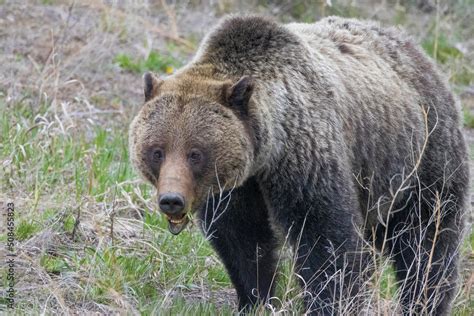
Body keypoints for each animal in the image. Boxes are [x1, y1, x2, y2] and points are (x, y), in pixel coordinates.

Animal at [130, 14, 470, 314]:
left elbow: (326, 239)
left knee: (426, 241)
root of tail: (414, 49)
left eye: (195, 153)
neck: (266, 154)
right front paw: (255, 299)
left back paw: (425, 302)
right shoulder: (236, 187)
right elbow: (241, 239)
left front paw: (330, 304)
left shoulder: (306, 158)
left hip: (421, 156)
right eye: (157, 151)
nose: (172, 200)